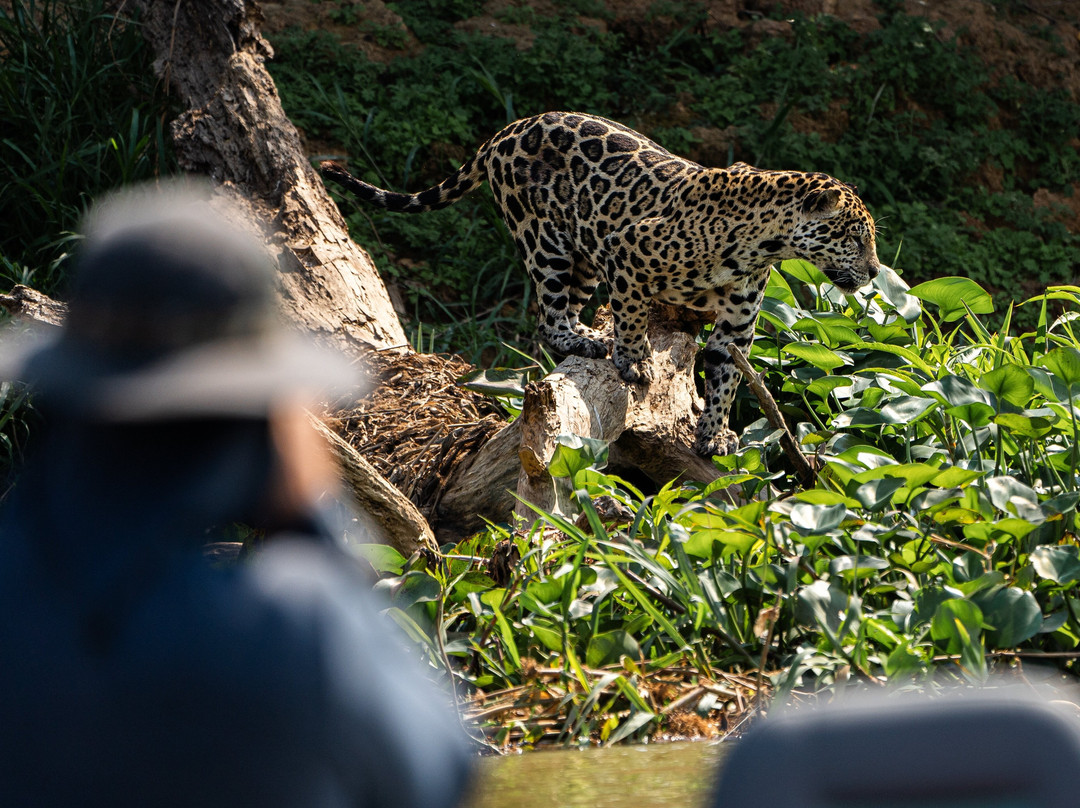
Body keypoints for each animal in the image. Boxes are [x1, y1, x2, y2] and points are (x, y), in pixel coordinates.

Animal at [321, 111, 881, 457]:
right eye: (856, 236)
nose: (876, 272)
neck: (762, 243)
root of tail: (509, 128)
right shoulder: (624, 250)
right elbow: (632, 312)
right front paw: (634, 361)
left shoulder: (736, 327)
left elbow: (726, 377)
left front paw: (715, 435)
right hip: (546, 239)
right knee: (549, 320)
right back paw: (587, 341)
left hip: (583, 255)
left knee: (566, 308)